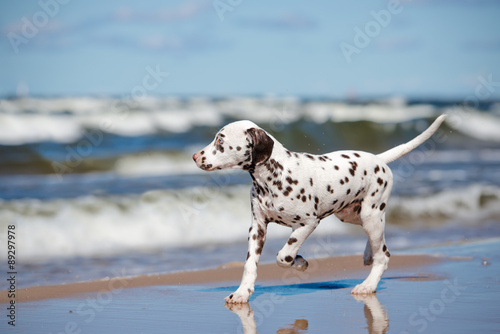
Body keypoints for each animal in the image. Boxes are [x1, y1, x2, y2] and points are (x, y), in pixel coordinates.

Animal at [191, 115, 446, 302]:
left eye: (220, 141)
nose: (194, 156)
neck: (274, 177)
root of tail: (378, 159)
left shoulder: (308, 223)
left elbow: (284, 255)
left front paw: (299, 262)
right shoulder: (257, 228)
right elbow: (250, 265)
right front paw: (242, 293)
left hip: (370, 213)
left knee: (384, 254)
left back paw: (367, 285)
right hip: (352, 214)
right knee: (380, 241)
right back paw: (368, 254)